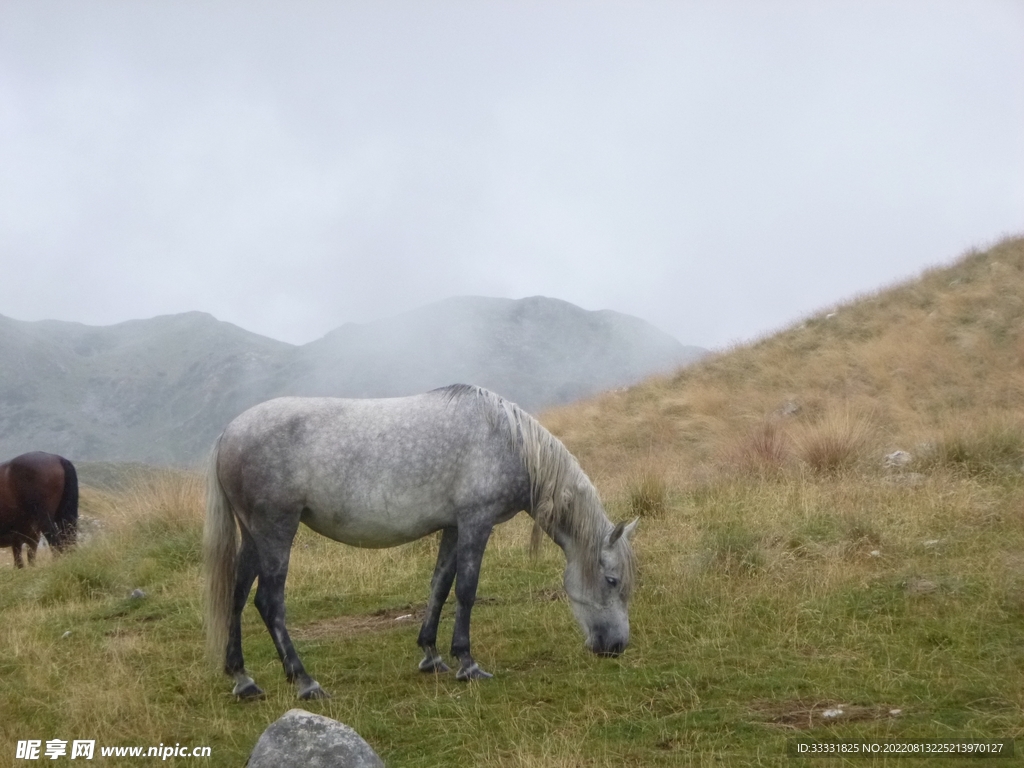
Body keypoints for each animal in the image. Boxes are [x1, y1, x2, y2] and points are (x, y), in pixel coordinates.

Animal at [204, 384, 638, 700]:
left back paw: (243, 680)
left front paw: (431, 655)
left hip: (254, 536)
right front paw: (467, 663)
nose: (616, 646)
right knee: (268, 603)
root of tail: (227, 433)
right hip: (276, 531)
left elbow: (439, 586)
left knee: (236, 597)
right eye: (612, 581)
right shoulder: (476, 522)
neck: (508, 441)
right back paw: (304, 681)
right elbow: (466, 590)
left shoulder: (453, 527)